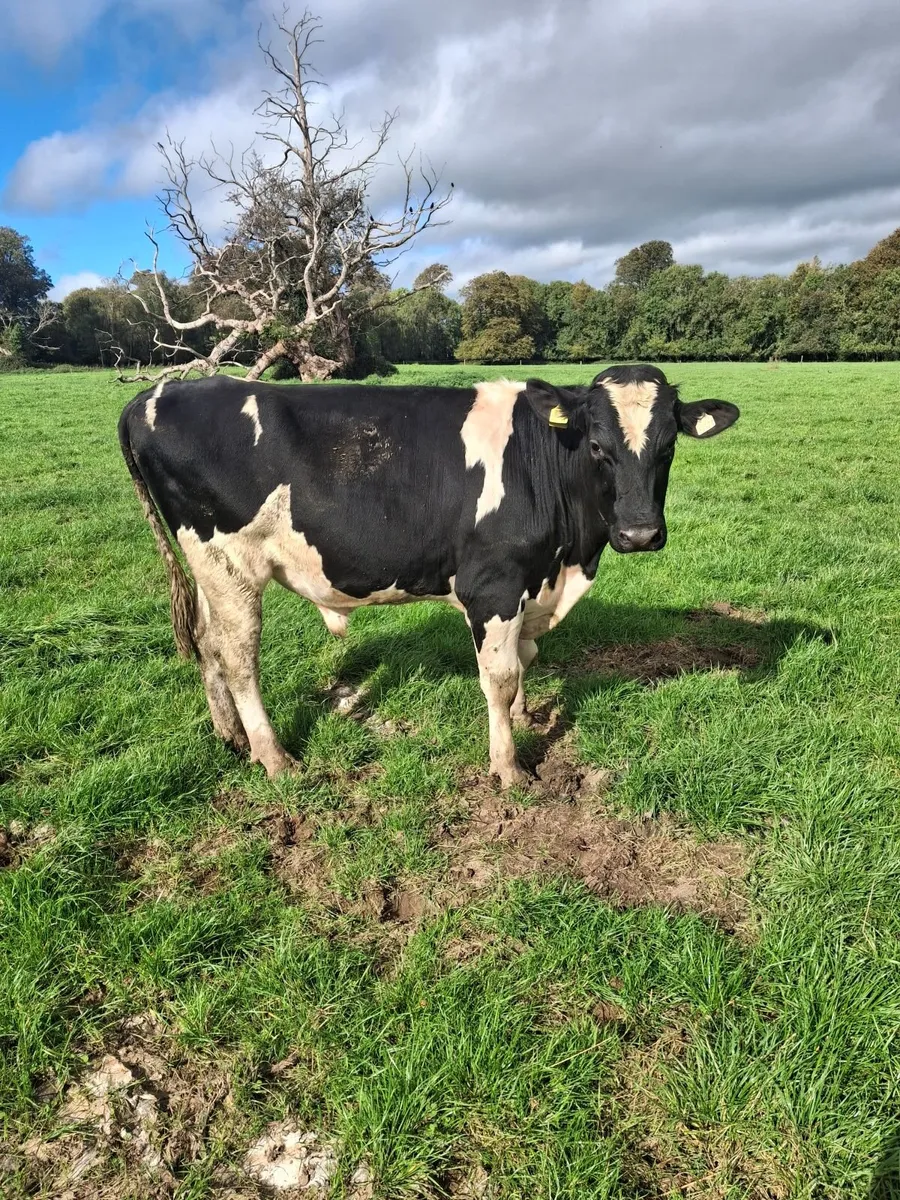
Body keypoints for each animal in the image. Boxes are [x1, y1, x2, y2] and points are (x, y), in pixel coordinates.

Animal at [118, 365, 739, 787]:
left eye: (668, 445)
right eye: (596, 444)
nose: (640, 533)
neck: (567, 561)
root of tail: (159, 392)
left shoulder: (529, 584)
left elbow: (525, 659)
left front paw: (521, 718)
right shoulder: (493, 583)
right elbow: (500, 675)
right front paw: (508, 767)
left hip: (209, 569)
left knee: (207, 643)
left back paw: (229, 734)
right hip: (230, 562)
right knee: (238, 654)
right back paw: (274, 757)